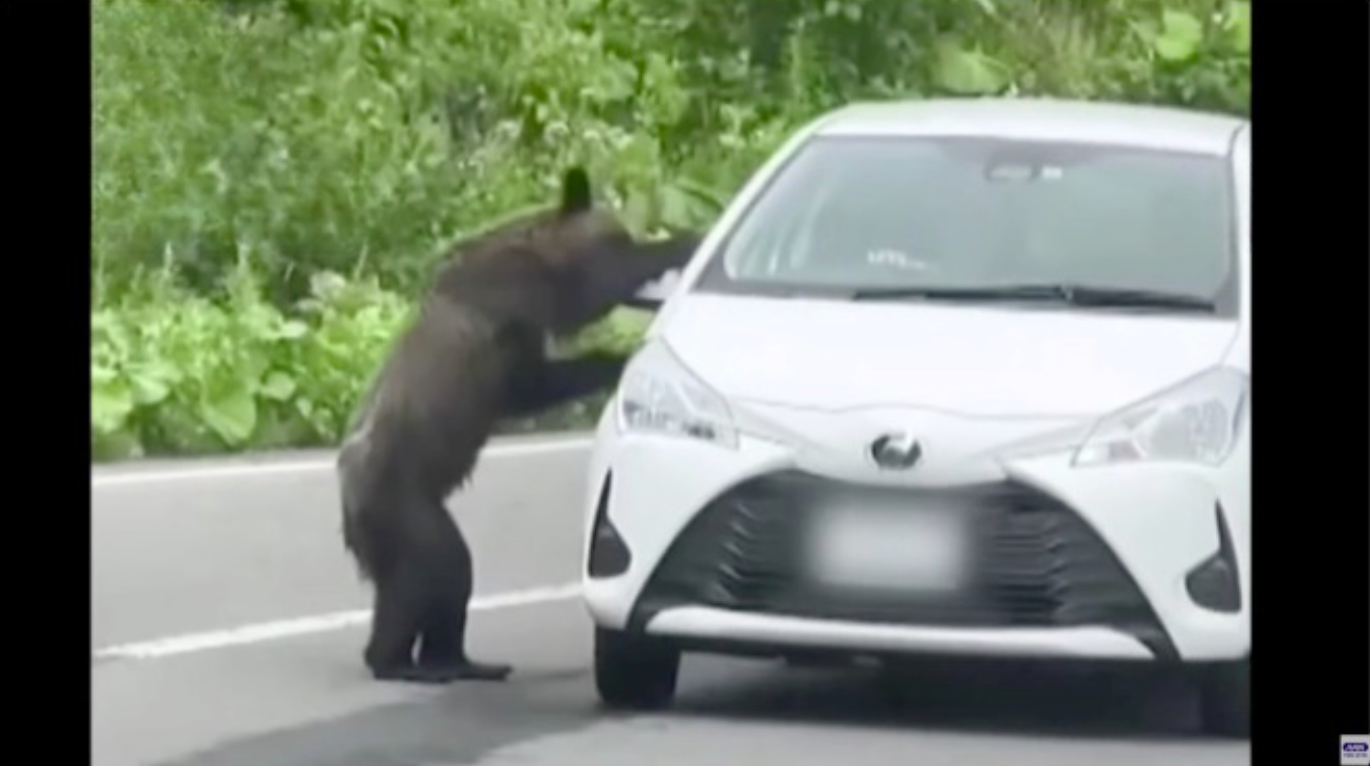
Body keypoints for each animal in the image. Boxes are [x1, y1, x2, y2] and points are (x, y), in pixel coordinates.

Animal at [336, 167, 699, 684]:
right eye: (622, 234)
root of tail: (348, 500)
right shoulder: (517, 299)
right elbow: (551, 351)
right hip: (402, 501)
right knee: (433, 568)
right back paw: (400, 661)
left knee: (444, 578)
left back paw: (458, 659)